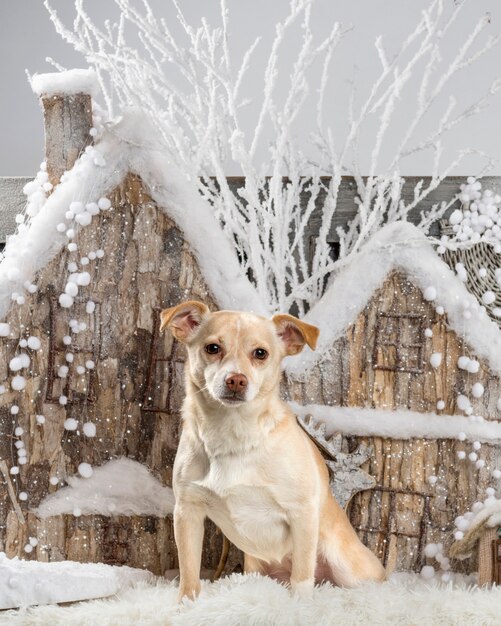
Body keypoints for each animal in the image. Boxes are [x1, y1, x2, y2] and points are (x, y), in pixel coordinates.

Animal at [160, 300, 382, 596]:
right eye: (213, 348)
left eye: (260, 353)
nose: (236, 380)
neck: (233, 432)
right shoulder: (187, 512)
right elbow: (189, 576)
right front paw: (187, 603)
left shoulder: (302, 513)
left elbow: (302, 576)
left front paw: (300, 602)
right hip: (255, 567)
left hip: (348, 568)